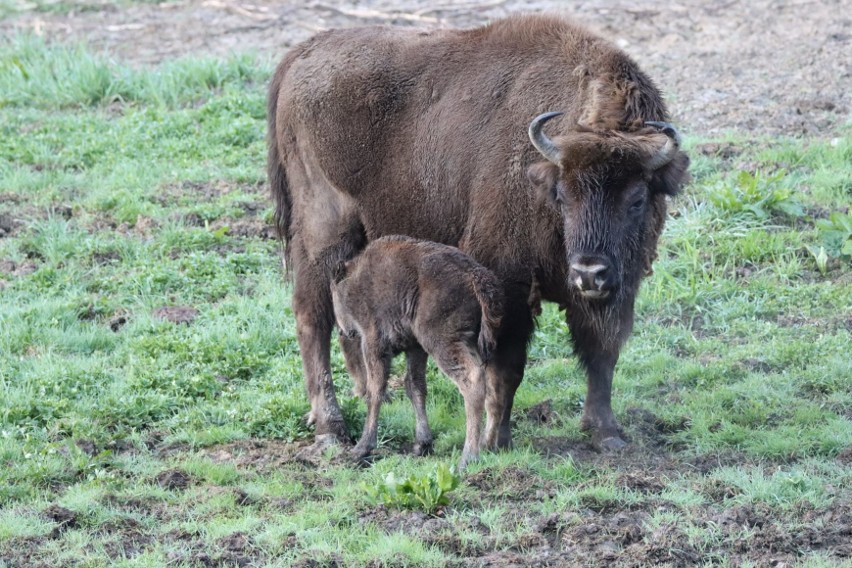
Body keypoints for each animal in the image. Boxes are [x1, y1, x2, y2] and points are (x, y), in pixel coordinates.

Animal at [330, 236, 502, 470]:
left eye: (333, 296)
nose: (343, 330)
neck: (355, 277)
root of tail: (475, 277)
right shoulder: (415, 347)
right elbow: (415, 386)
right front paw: (423, 444)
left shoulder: (374, 343)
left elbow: (375, 391)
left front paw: (362, 447)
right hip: (473, 344)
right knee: (491, 382)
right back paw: (485, 445)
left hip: (442, 343)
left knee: (472, 381)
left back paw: (468, 457)